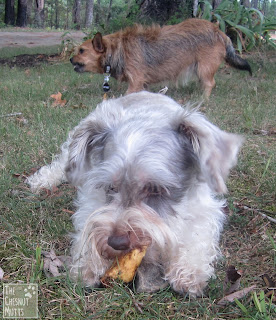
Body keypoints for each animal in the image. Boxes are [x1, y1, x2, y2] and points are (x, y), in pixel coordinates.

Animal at [25, 90, 242, 296]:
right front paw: (87, 264)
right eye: (111, 187)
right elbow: (89, 225)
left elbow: (197, 235)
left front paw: (189, 271)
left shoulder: (204, 208)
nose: (116, 242)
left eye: (155, 189)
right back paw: (43, 180)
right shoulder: (90, 198)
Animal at [70, 17, 251, 97]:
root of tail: (219, 31)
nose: (70, 59)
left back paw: (203, 99)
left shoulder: (135, 81)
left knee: (210, 83)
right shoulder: (142, 84)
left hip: (204, 68)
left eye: (81, 51)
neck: (118, 50)